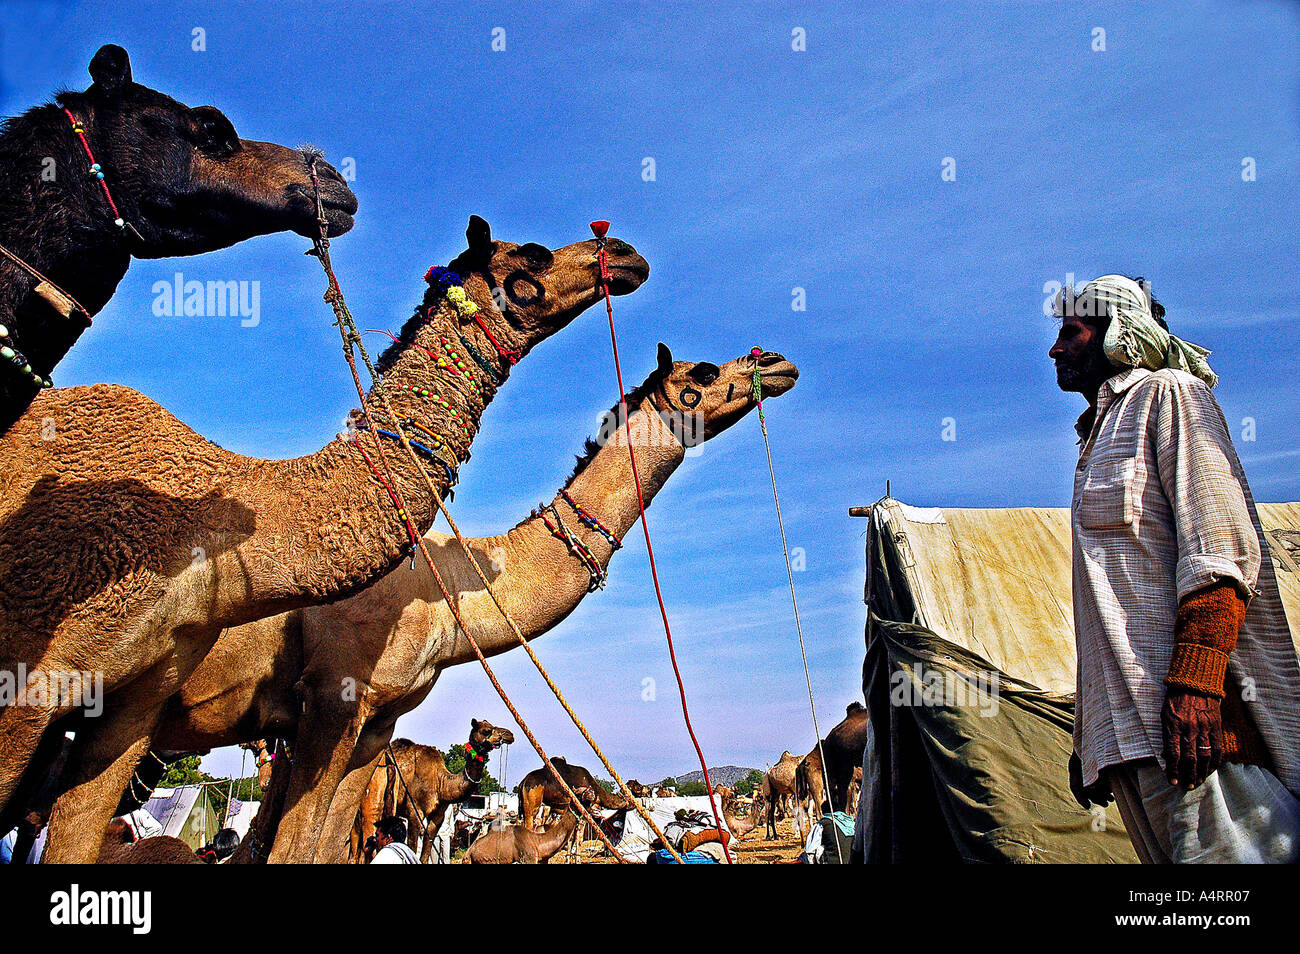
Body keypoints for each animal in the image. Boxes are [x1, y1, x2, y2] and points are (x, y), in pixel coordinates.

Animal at [350, 722, 514, 864]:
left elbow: (425, 852)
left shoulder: (438, 816)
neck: (440, 782)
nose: (509, 734)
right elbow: (411, 846)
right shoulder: (414, 812)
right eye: (486, 730)